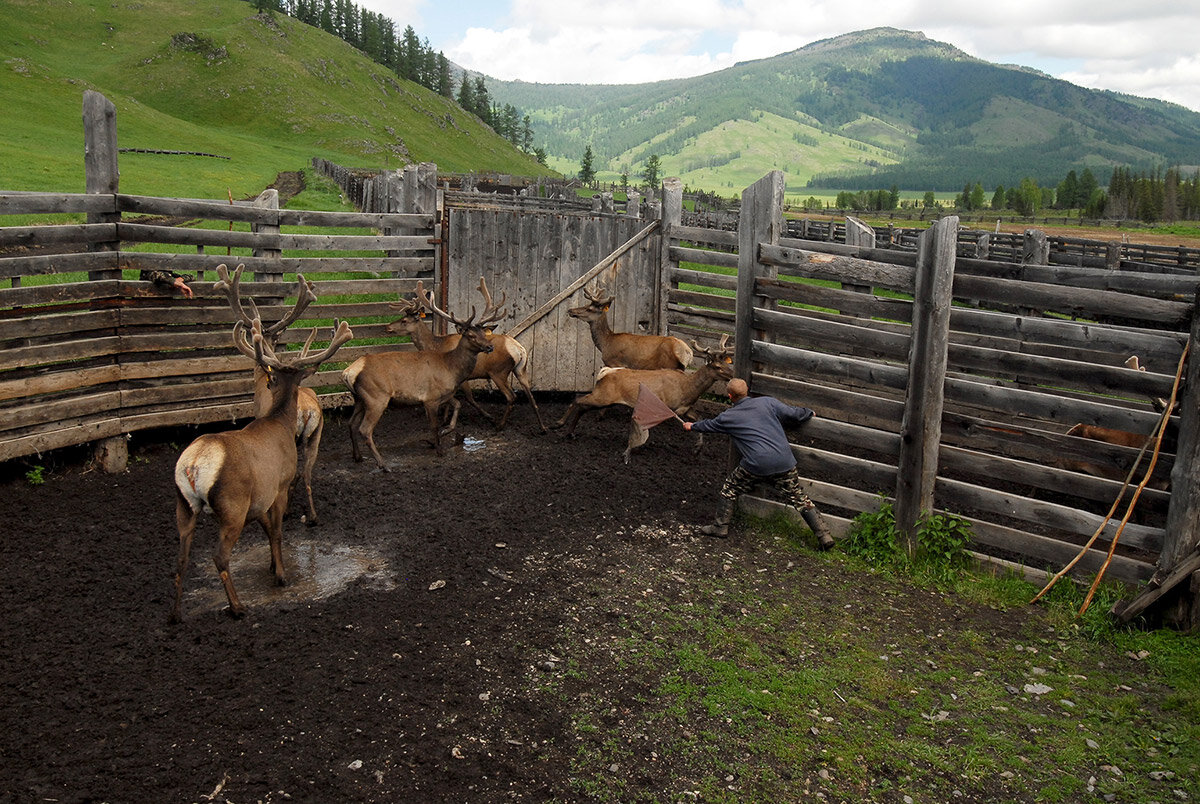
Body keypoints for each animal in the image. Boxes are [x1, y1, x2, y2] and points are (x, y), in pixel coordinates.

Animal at [171, 280, 352, 628]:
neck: (278, 420)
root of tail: (193, 465)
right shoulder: (276, 485)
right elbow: (277, 531)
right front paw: (280, 575)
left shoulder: (262, 497)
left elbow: (270, 529)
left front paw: (273, 566)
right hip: (231, 504)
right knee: (218, 555)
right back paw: (237, 607)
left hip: (186, 505)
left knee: (182, 556)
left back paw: (177, 614)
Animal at [552, 331, 729, 463]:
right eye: (718, 367)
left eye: (727, 364)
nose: (731, 375)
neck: (688, 389)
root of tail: (605, 373)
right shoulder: (666, 406)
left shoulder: (685, 408)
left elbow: (699, 420)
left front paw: (698, 449)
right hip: (602, 396)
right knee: (577, 400)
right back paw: (558, 424)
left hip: (604, 399)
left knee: (582, 406)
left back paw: (570, 432)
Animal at [568, 283, 696, 372]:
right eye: (586, 305)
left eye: (589, 309)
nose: (570, 310)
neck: (606, 343)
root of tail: (688, 353)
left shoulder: (615, 363)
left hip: (668, 364)